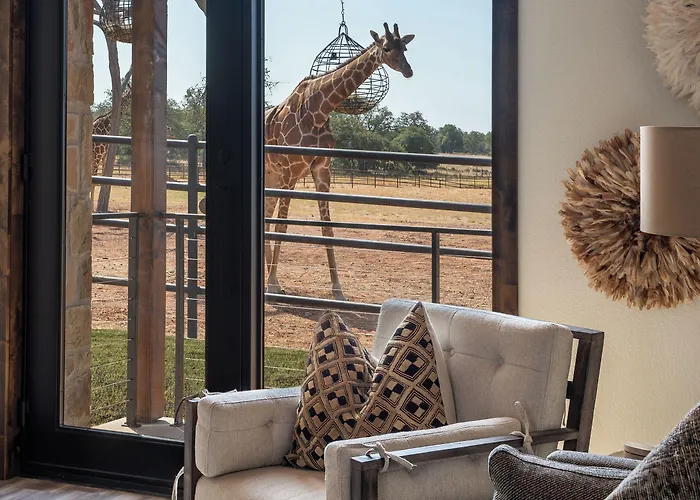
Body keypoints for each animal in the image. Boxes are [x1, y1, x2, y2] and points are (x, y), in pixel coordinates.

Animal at [201, 22, 415, 301]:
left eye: (405, 48)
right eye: (387, 48)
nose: (408, 70)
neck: (318, 109)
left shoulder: (322, 170)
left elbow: (327, 229)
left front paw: (337, 289)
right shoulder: (291, 171)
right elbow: (282, 226)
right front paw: (272, 284)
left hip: (272, 177)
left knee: (265, 216)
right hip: (276, 177)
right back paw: (270, 280)